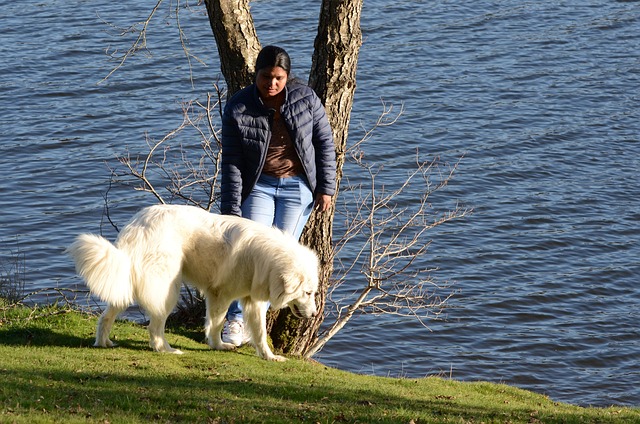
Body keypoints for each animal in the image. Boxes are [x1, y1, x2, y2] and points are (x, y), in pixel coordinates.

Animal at [65, 205, 320, 362]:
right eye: (308, 293)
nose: (314, 314)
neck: (266, 257)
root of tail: (138, 226)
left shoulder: (252, 301)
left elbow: (259, 333)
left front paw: (269, 357)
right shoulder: (221, 295)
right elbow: (216, 324)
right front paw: (218, 345)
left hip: (125, 283)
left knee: (106, 316)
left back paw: (103, 342)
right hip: (168, 290)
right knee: (155, 328)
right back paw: (167, 350)